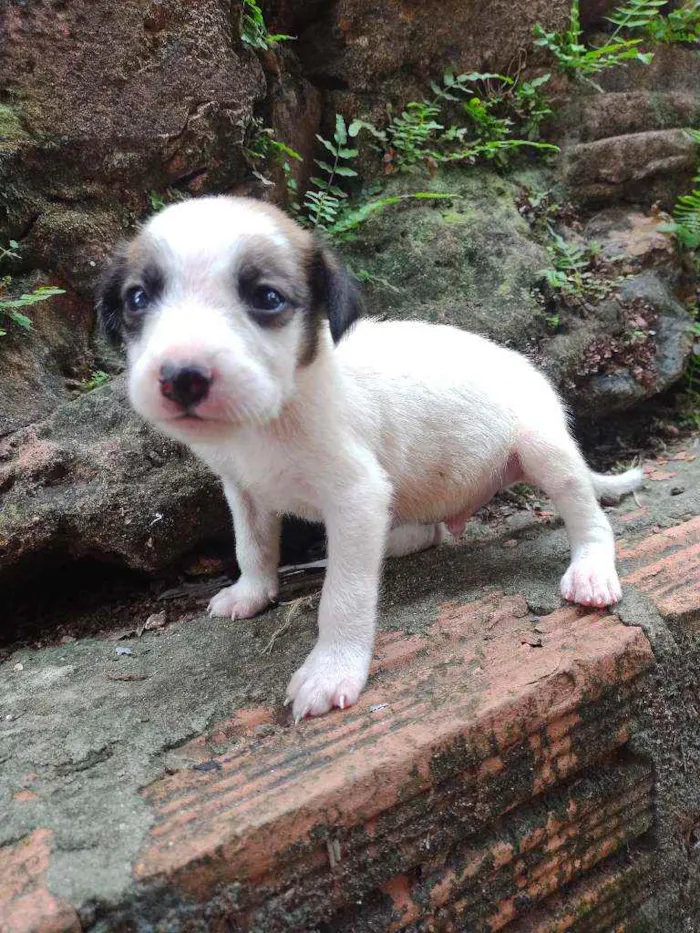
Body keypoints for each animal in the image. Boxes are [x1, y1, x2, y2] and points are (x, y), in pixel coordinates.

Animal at [95, 195, 644, 720]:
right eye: (138, 298)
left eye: (266, 297)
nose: (182, 377)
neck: (276, 412)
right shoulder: (243, 489)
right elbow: (252, 546)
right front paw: (252, 591)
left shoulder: (356, 498)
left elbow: (343, 597)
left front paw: (332, 669)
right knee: (429, 530)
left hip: (543, 448)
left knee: (589, 517)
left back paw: (591, 569)